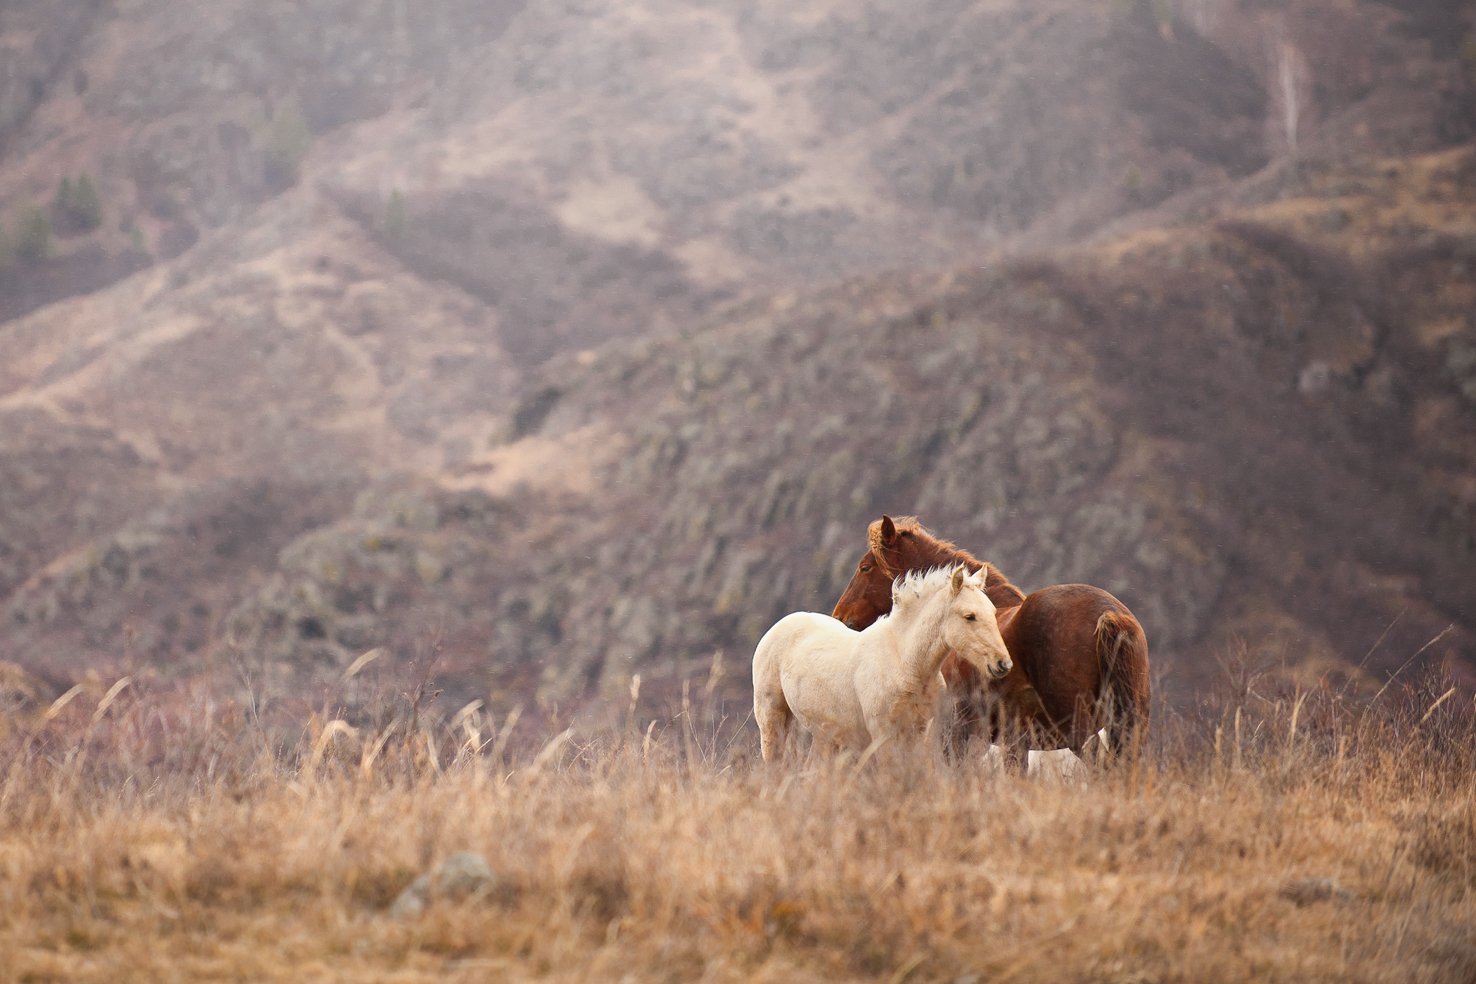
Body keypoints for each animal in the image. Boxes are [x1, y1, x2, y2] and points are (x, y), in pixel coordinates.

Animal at [752, 565, 1013, 763]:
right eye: (970, 616)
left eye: (992, 612)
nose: (1002, 663)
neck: (905, 663)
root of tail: (780, 625)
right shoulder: (883, 734)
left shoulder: (924, 733)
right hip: (772, 720)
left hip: (824, 734)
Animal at [831, 515, 1150, 768]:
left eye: (865, 567)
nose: (839, 616)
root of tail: (1110, 614)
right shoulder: (1008, 743)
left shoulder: (956, 736)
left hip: (1080, 733)